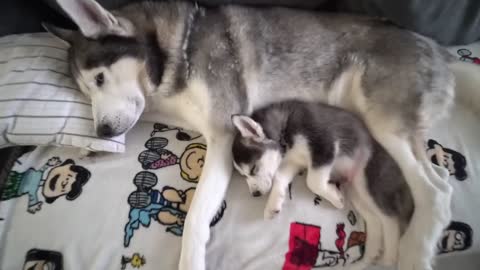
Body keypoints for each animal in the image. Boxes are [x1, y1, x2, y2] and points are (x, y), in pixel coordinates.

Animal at [231, 99, 414, 266]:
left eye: (253, 169)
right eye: (243, 176)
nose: (255, 194)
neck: (285, 130)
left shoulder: (324, 144)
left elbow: (313, 181)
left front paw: (334, 198)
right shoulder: (292, 163)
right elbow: (279, 178)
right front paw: (272, 205)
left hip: (369, 181)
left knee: (390, 217)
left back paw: (389, 257)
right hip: (355, 190)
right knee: (374, 218)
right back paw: (370, 254)